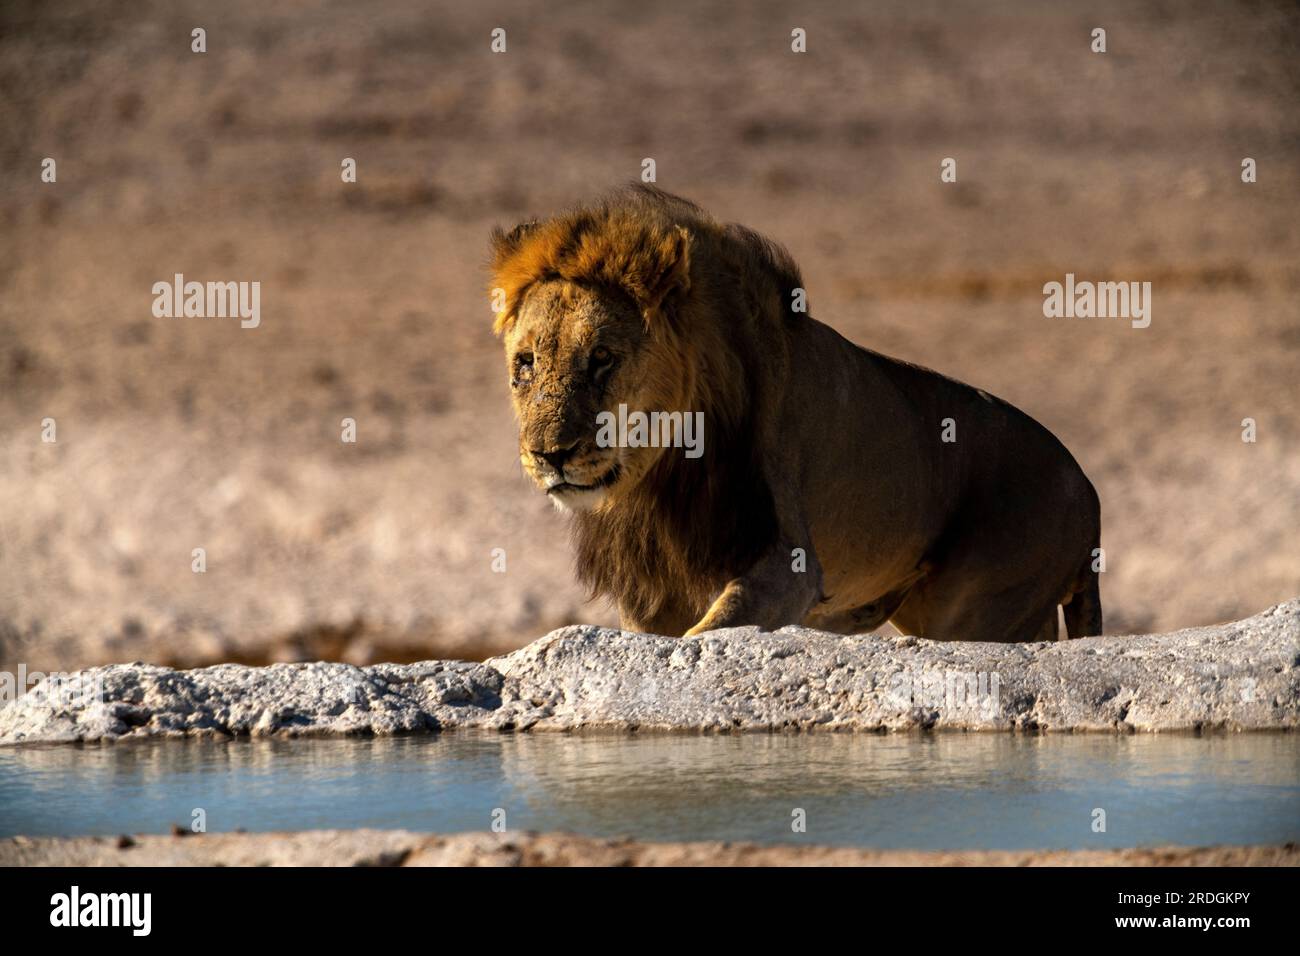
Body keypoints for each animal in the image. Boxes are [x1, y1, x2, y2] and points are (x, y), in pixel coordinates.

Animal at [491, 184, 1102, 642]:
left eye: (602, 359)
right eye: (525, 364)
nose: (550, 455)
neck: (657, 478)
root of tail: (1087, 489)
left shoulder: (791, 563)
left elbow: (709, 632)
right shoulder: (649, 589)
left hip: (982, 607)